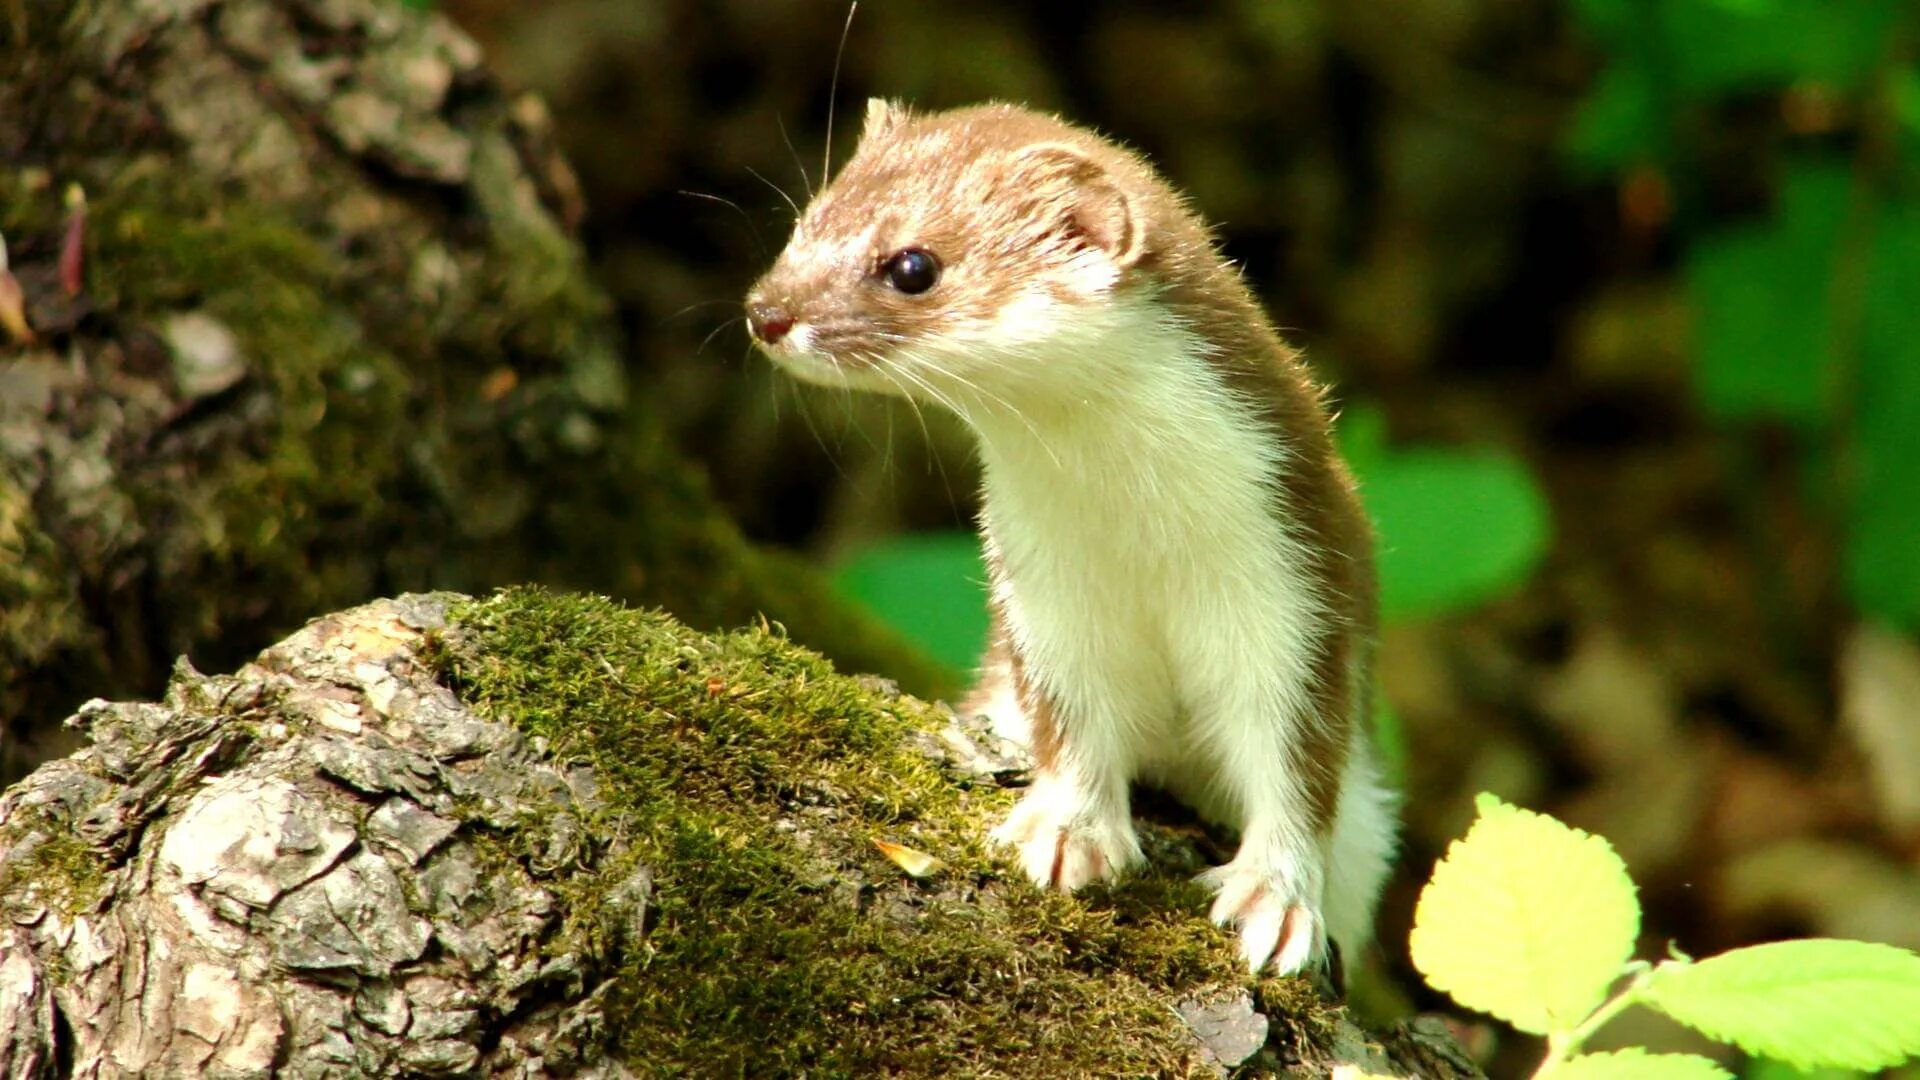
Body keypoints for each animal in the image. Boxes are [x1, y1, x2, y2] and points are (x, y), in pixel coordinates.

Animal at [741, 102, 1390, 976]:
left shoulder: (1298, 580)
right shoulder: (1040, 591)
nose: (765, 310)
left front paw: (1276, 899)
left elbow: (1297, 761)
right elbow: (1070, 717)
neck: (1133, 539)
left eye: (912, 264)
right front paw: (1067, 833)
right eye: (806, 219)